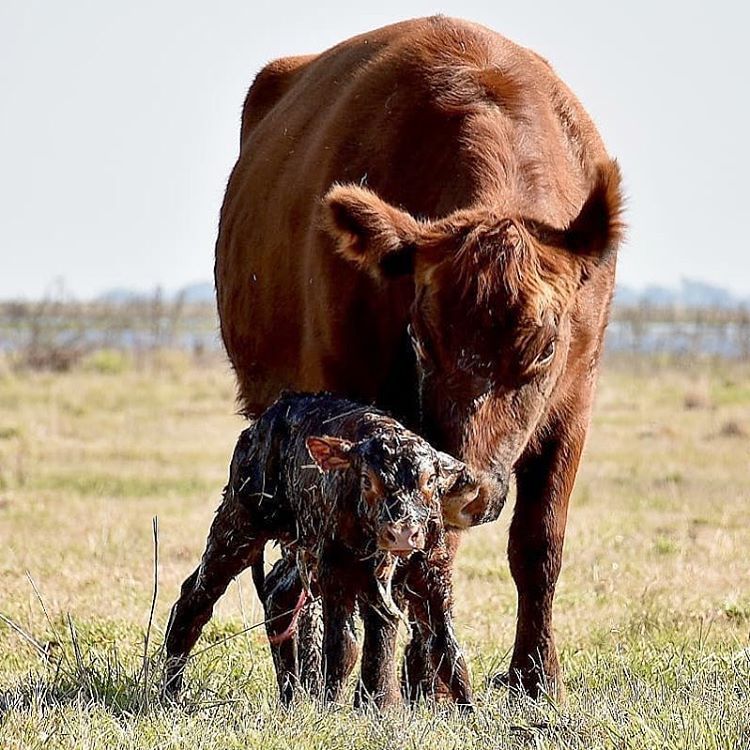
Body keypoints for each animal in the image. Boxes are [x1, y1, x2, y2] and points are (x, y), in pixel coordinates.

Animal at [164, 392, 484, 708]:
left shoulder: (431, 573)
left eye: (429, 480)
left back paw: (290, 697)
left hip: (301, 550)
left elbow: (445, 646)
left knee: (278, 595)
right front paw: (332, 706)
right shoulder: (336, 571)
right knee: (195, 596)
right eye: (367, 480)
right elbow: (344, 645)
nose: (403, 533)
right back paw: (170, 691)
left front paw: (466, 709)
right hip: (240, 522)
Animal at [214, 16, 624, 699]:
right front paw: (408, 680)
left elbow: (538, 545)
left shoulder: (573, 406)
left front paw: (534, 677)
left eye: (543, 347)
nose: (476, 491)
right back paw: (305, 679)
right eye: (422, 339)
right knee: (296, 577)